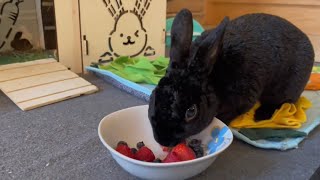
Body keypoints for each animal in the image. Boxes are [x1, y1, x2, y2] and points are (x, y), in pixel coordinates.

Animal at [149, 8, 314, 146]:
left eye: (191, 112)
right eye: (154, 95)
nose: (162, 141)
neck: (213, 80)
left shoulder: (242, 101)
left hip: (286, 89)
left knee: (282, 103)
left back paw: (261, 115)